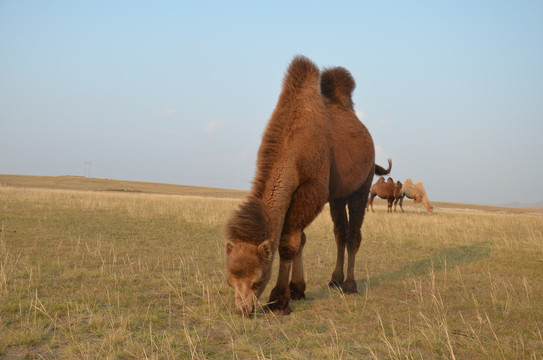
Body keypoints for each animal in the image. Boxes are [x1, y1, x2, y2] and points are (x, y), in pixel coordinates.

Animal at [224, 55, 392, 316]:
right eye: (230, 281)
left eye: (257, 281)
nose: (243, 310)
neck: (293, 145)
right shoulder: (300, 191)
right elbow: (300, 239)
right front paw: (298, 289)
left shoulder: (312, 189)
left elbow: (288, 243)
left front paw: (279, 300)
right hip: (337, 196)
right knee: (340, 231)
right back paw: (334, 280)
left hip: (361, 187)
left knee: (353, 234)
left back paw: (350, 285)